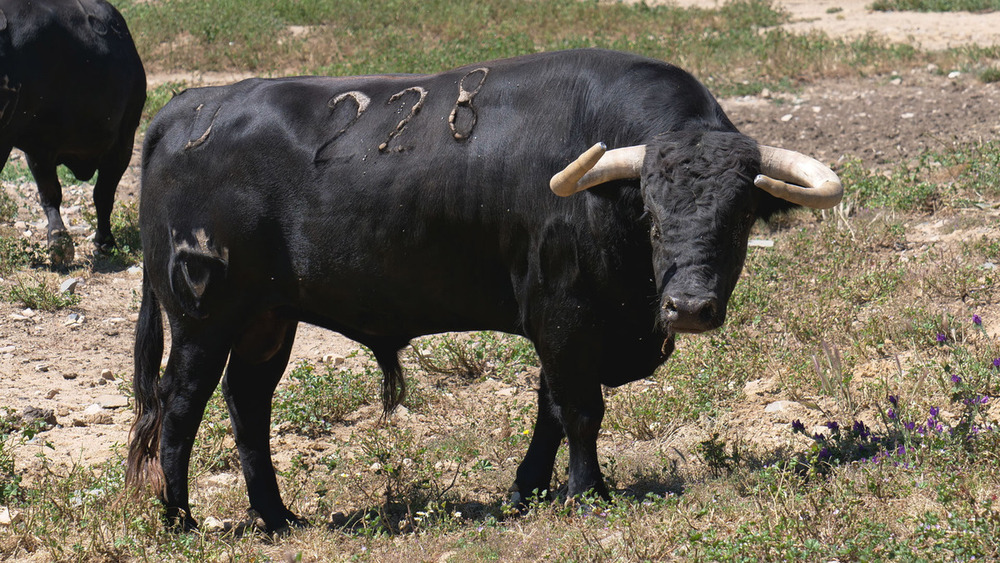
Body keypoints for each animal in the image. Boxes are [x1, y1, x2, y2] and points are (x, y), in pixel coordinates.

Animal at [0, 0, 146, 264]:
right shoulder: (35, 148)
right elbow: (49, 193)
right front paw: (59, 241)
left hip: (124, 139)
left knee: (103, 194)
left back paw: (104, 241)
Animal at [127, 48, 844, 532]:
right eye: (653, 214)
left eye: (741, 217)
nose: (689, 307)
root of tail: (191, 106)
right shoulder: (563, 315)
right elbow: (580, 409)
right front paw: (588, 492)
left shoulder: (564, 329)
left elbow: (549, 409)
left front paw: (528, 491)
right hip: (202, 316)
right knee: (180, 405)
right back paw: (179, 520)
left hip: (267, 319)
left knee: (248, 403)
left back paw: (276, 518)